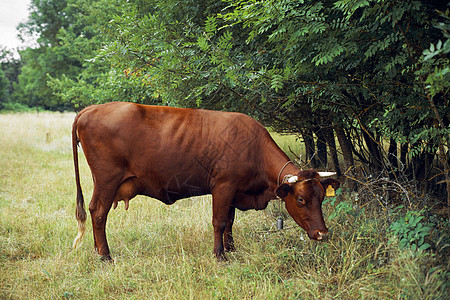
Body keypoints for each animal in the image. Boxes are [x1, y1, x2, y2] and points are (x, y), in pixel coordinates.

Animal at [71, 101, 338, 260]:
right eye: (301, 199)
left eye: (322, 198)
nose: (323, 234)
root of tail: (90, 109)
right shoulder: (223, 186)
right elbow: (219, 222)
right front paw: (220, 255)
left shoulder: (234, 191)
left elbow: (230, 222)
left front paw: (231, 248)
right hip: (107, 180)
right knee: (99, 213)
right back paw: (105, 256)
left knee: (94, 211)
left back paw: (97, 250)